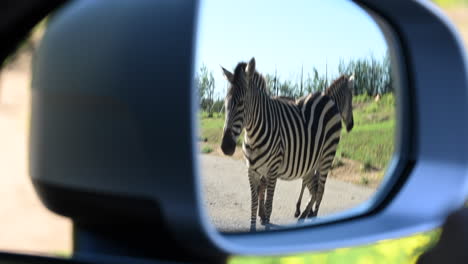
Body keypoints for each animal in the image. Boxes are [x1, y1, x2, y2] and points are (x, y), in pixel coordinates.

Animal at [292, 75, 354, 221]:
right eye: (351, 100)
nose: (351, 126)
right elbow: (313, 183)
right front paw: (306, 208)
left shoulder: (313, 157)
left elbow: (309, 182)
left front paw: (305, 208)